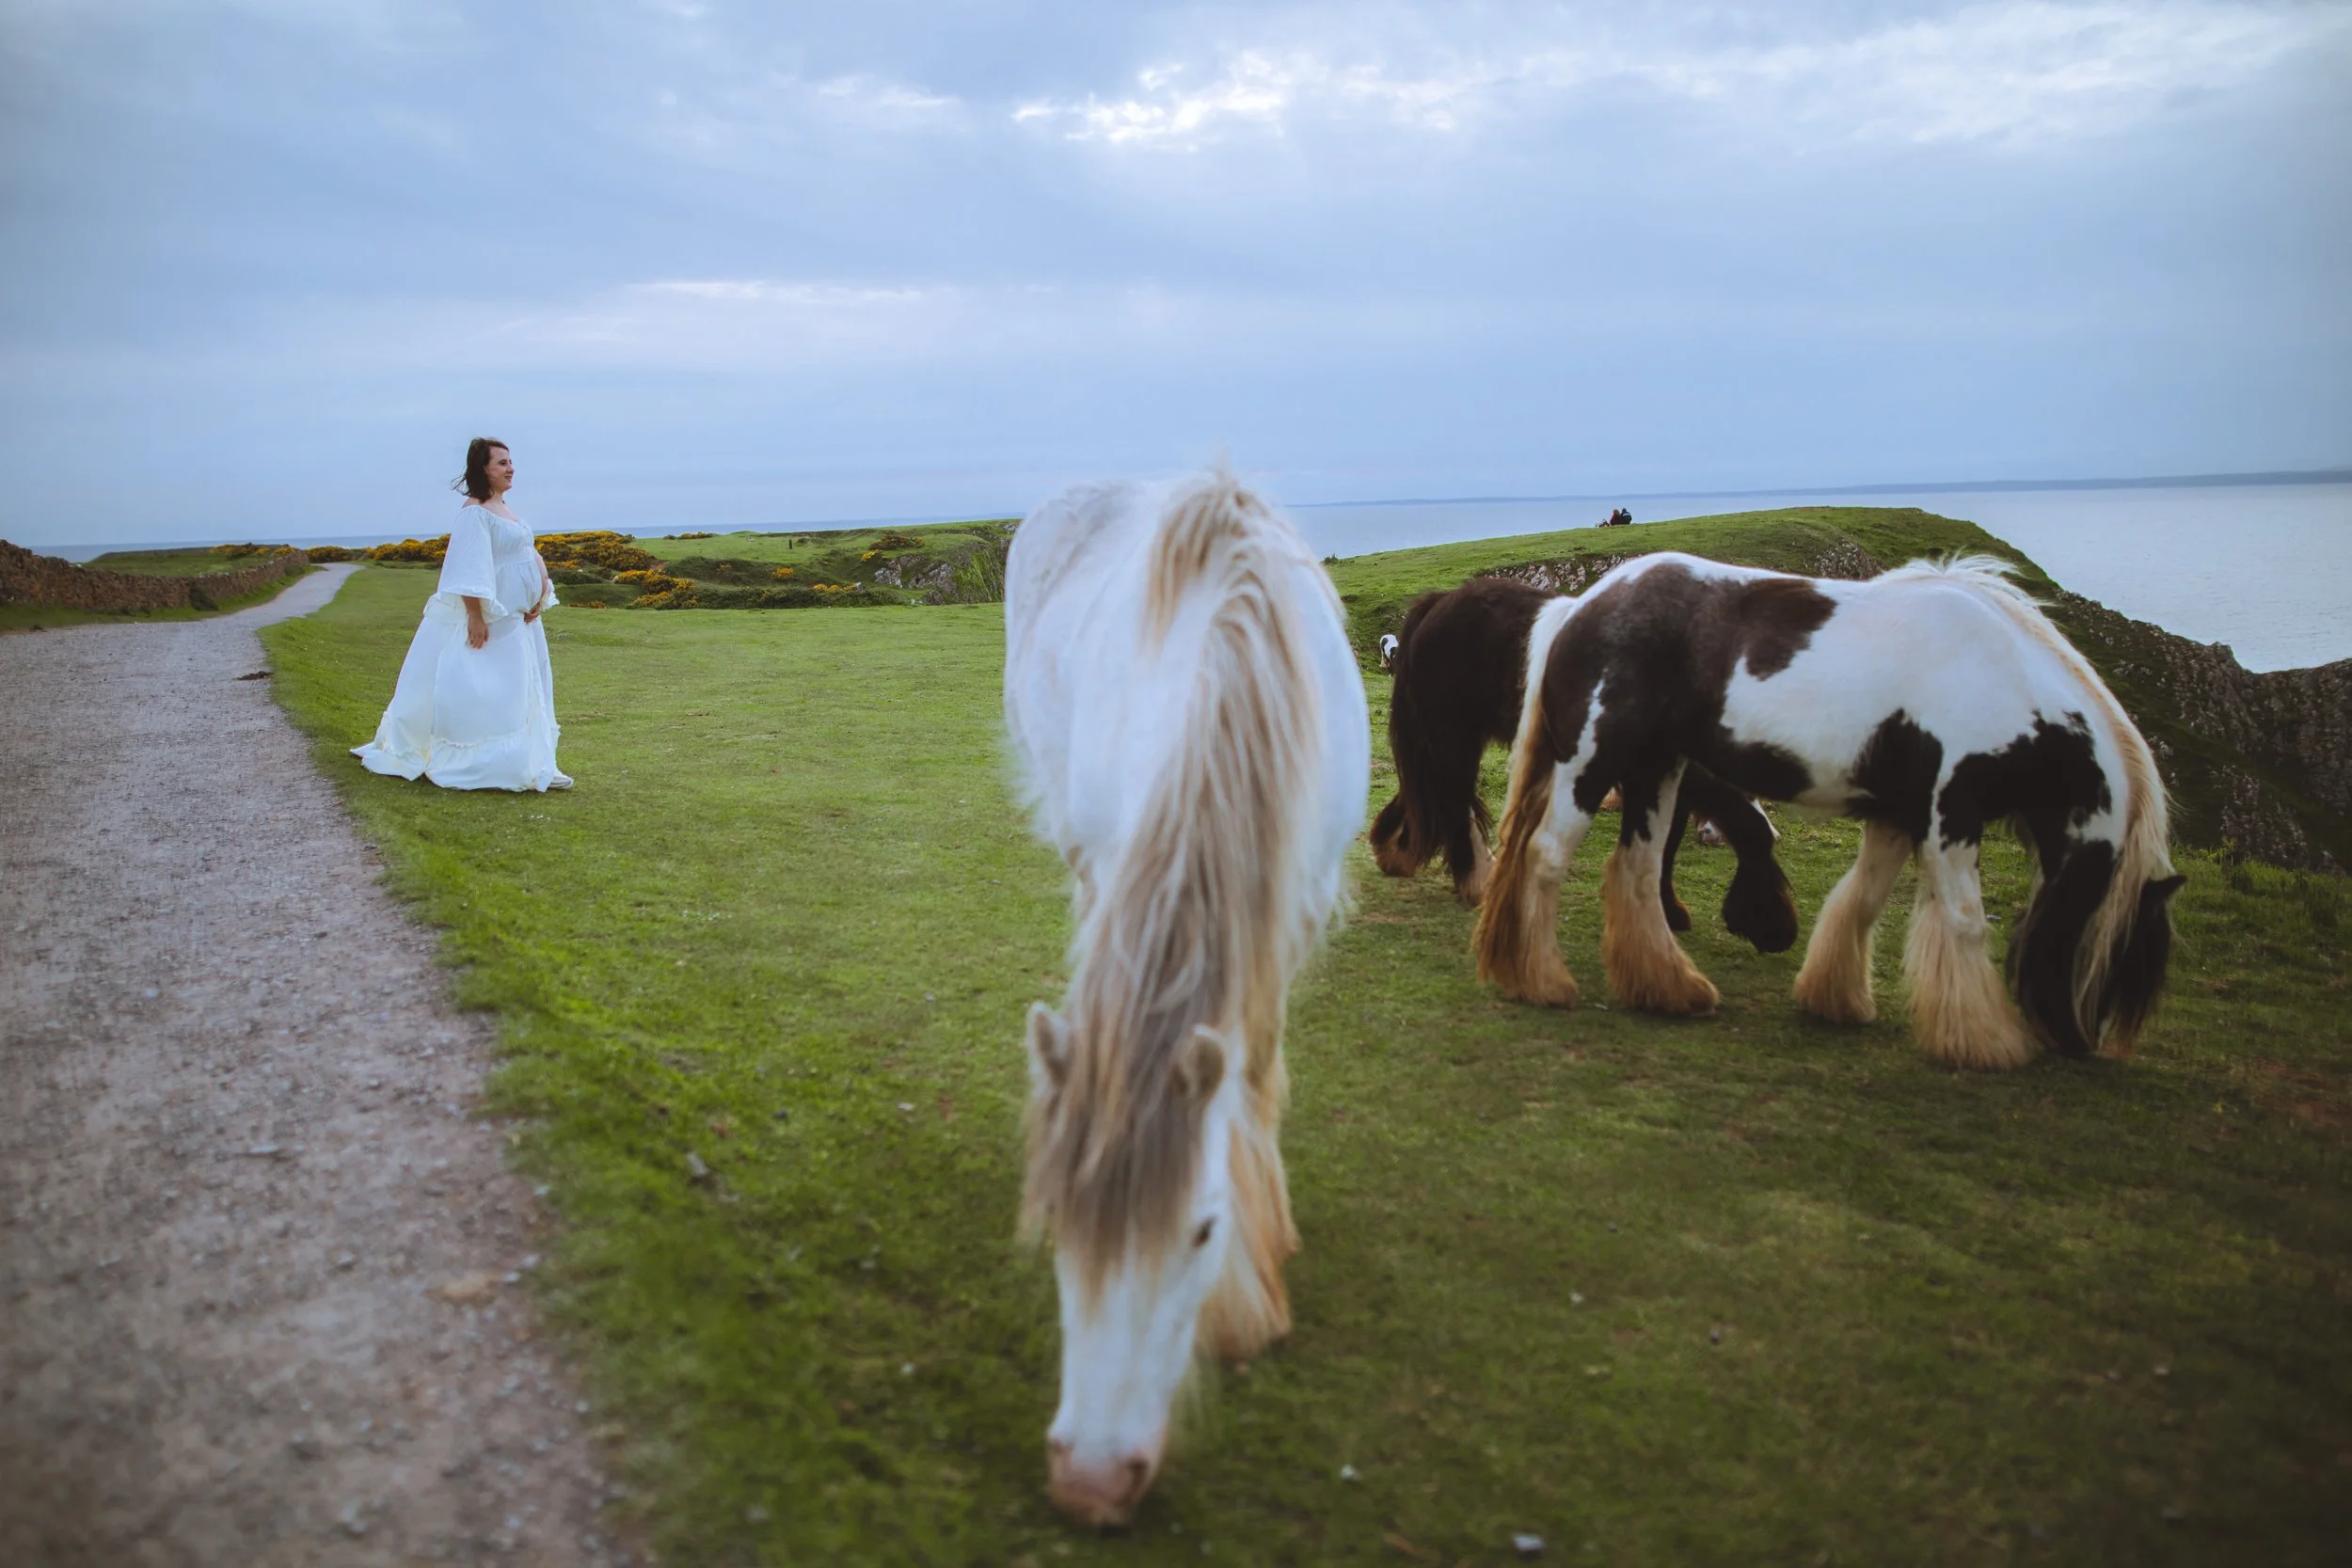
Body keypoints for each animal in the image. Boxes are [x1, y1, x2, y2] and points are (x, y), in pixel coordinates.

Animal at [1003, 471, 1369, 1523]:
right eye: (1055, 1214)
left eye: (1202, 1230)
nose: (1088, 1481)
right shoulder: (1118, 855)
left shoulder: (1296, 908)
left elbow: (1253, 1078)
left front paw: (1257, 1278)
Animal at [1369, 575, 1798, 954]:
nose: (1779, 936)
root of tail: (1438, 602)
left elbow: (1668, 844)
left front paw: (1670, 909)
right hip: (1453, 738)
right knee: (1450, 799)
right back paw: (1471, 881)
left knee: (1429, 793)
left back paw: (1399, 852)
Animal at [1473, 552, 2181, 1068]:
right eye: (2129, 952)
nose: (2084, 1045)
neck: (2005, 680)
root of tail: (1581, 605)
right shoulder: (1952, 814)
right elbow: (1965, 920)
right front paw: (1986, 1041)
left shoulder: (1898, 816)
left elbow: (1861, 902)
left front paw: (1836, 997)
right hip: (1591, 766)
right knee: (1547, 856)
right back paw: (1542, 981)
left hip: (1658, 772)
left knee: (1638, 873)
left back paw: (1669, 990)